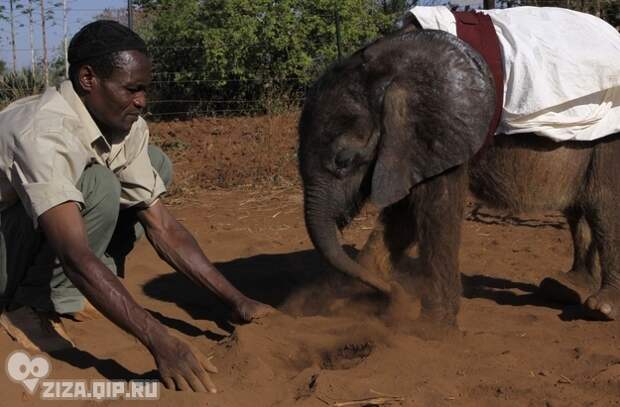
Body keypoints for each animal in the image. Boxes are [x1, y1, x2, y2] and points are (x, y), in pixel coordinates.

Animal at [298, 28, 616, 326]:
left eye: (343, 161)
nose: (396, 295)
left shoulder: (440, 130)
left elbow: (434, 210)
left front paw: (430, 329)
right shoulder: (410, 143)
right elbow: (403, 214)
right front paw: (344, 303)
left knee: (603, 207)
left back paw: (601, 307)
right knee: (578, 210)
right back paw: (565, 287)